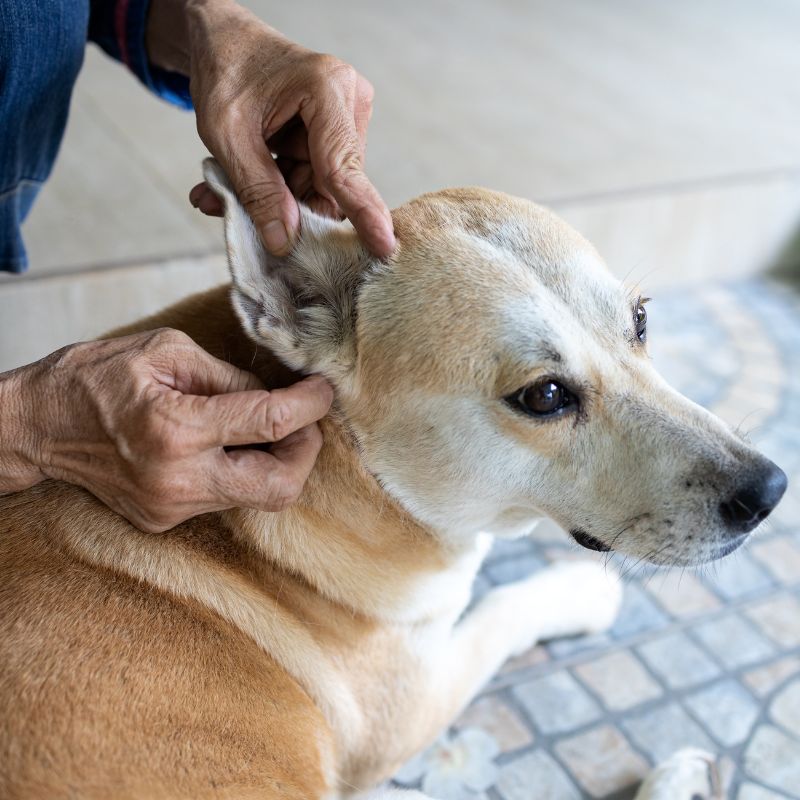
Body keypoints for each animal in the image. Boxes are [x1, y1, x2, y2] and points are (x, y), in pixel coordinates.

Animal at [0, 158, 784, 800]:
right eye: (545, 396)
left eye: (642, 321)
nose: (769, 492)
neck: (364, 479)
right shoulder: (413, 705)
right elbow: (501, 610)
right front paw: (579, 590)